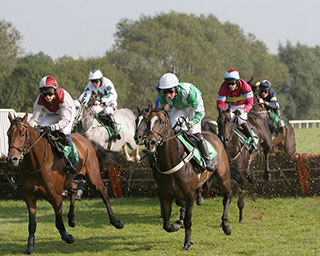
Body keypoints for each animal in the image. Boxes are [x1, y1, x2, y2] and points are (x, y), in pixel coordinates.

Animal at [6, 113, 124, 254]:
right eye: (8, 134)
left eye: (22, 134)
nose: (12, 159)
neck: (36, 164)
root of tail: (86, 140)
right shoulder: (30, 196)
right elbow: (32, 224)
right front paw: (30, 247)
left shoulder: (56, 196)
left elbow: (58, 221)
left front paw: (67, 237)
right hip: (68, 181)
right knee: (74, 188)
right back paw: (72, 219)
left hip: (93, 176)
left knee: (104, 195)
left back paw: (116, 222)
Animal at [135, 105, 232, 251]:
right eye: (147, 122)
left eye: (162, 122)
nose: (149, 142)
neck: (172, 160)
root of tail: (215, 137)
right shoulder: (165, 194)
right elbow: (166, 224)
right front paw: (176, 225)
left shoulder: (189, 194)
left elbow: (188, 220)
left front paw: (187, 242)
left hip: (223, 176)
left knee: (227, 197)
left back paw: (226, 226)